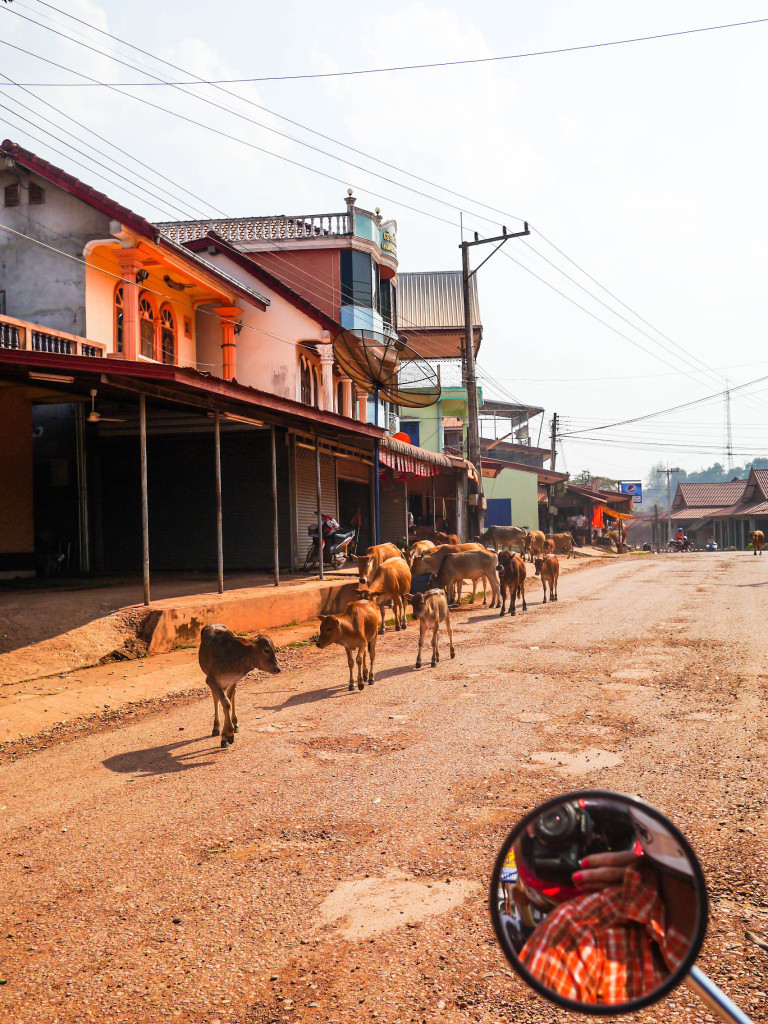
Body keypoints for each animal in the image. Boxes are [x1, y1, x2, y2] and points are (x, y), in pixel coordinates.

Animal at [199, 618, 280, 749]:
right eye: (266, 650)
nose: (277, 669)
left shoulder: (233, 679)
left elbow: (228, 702)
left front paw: (226, 735)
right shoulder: (211, 680)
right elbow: (225, 703)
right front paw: (228, 734)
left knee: (232, 696)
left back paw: (235, 723)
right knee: (216, 699)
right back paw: (216, 727)